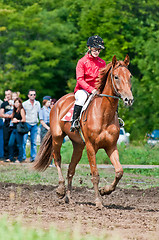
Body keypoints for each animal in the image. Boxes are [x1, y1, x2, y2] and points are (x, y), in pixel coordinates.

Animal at [33, 54, 134, 208]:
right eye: (116, 76)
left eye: (130, 76)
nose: (129, 99)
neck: (104, 114)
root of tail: (57, 102)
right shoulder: (91, 147)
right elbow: (95, 174)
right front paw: (98, 201)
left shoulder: (111, 146)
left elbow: (119, 172)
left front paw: (105, 191)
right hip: (58, 138)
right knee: (57, 159)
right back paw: (61, 190)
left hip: (78, 146)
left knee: (71, 169)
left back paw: (69, 197)